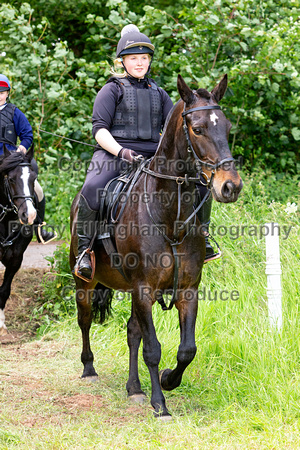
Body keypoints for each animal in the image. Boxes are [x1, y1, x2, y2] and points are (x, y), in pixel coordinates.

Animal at [70, 74, 244, 418]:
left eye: (227, 127)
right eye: (198, 129)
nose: (230, 186)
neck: (168, 215)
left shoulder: (187, 289)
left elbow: (187, 349)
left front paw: (167, 380)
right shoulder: (143, 288)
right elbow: (153, 348)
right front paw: (160, 405)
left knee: (131, 331)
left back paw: (134, 388)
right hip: (85, 281)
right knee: (85, 319)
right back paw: (89, 369)